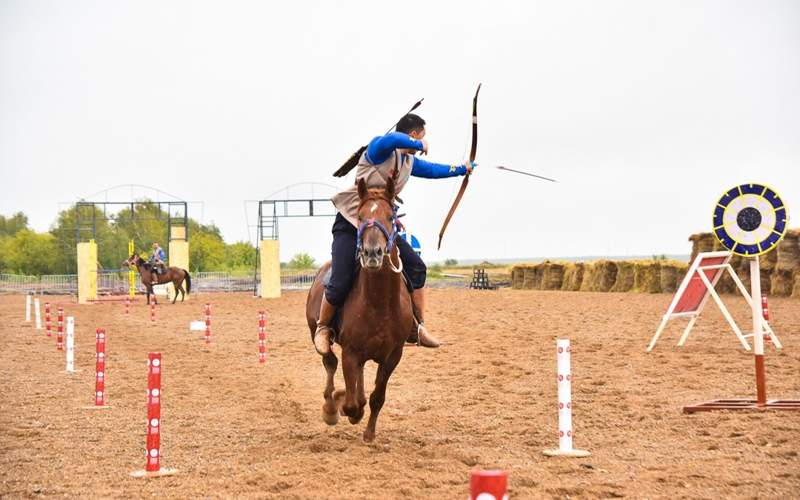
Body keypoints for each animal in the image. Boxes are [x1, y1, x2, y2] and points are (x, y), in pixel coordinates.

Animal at [304, 176, 412, 442]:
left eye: (390, 217)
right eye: (360, 216)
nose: (372, 253)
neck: (380, 304)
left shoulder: (393, 356)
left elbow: (377, 397)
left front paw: (369, 434)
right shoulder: (350, 352)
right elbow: (351, 402)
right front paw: (342, 407)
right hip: (317, 333)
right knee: (329, 362)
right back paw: (331, 406)